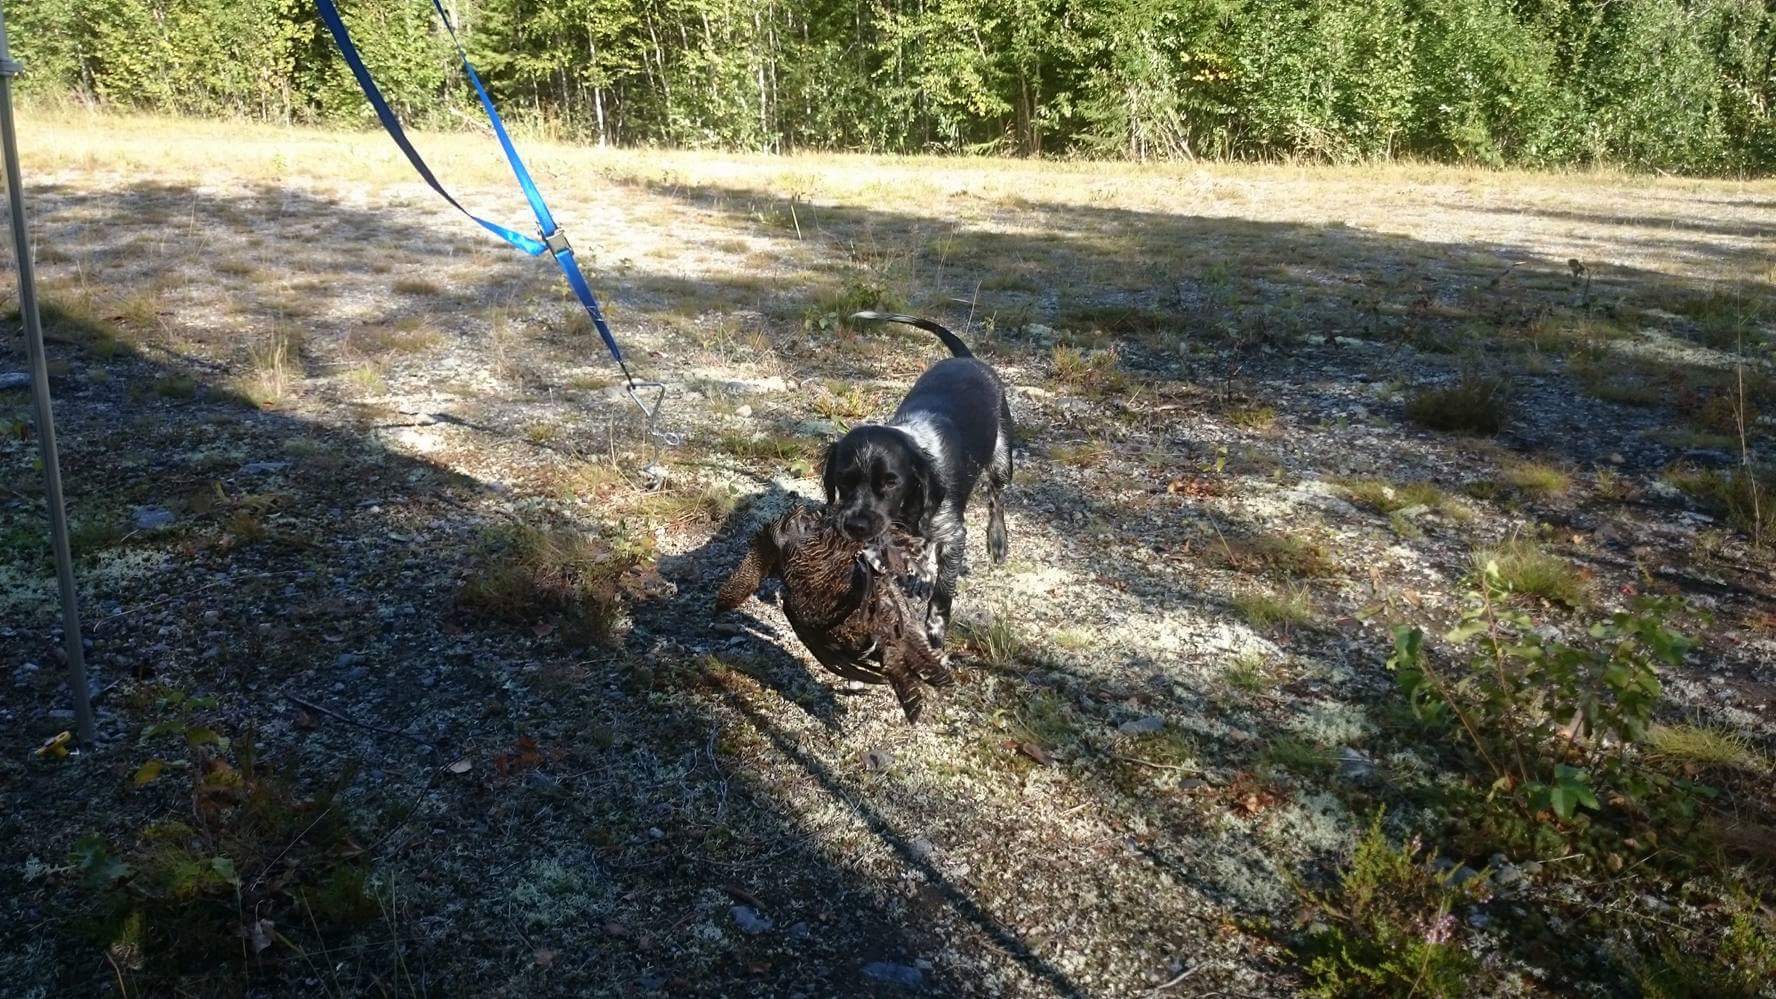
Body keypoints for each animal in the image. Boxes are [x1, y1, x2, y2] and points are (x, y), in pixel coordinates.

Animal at [823, 312, 1013, 647]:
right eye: (843, 480)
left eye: (891, 482)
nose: (856, 526)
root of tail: (967, 359)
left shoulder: (953, 535)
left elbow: (942, 594)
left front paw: (935, 633)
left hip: (1002, 460)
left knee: (996, 499)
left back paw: (997, 541)